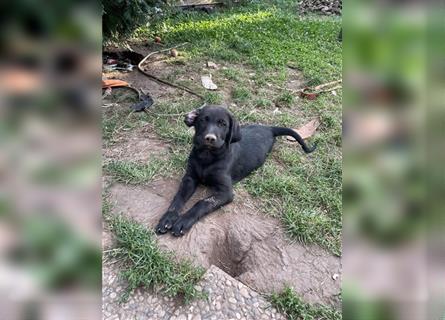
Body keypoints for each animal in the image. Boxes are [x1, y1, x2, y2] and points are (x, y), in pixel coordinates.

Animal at [156, 105, 316, 235]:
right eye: (202, 120)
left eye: (223, 124)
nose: (210, 138)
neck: (207, 156)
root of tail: (269, 128)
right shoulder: (189, 178)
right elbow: (178, 198)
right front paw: (167, 219)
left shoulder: (226, 192)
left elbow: (202, 202)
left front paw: (183, 221)